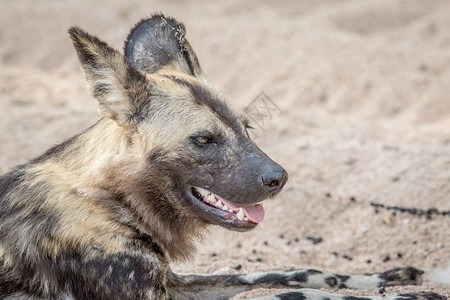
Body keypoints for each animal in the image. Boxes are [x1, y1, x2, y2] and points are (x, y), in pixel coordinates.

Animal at [0, 14, 442, 300]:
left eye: (246, 128)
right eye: (204, 139)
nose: (278, 178)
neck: (111, 199)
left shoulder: (175, 282)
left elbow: (289, 275)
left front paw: (388, 280)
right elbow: (289, 295)